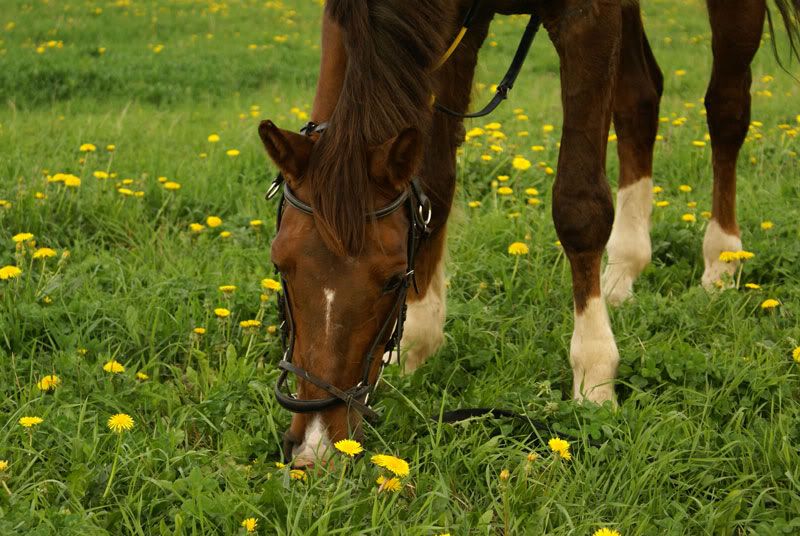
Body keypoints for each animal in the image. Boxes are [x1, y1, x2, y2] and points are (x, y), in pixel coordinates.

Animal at [260, 0, 800, 466]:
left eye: (393, 277)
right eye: (280, 265)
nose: (316, 446)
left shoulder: (587, 15)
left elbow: (579, 207)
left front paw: (594, 378)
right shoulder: (455, 24)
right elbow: (435, 180)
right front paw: (417, 338)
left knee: (726, 107)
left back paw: (722, 260)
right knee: (640, 98)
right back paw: (624, 267)